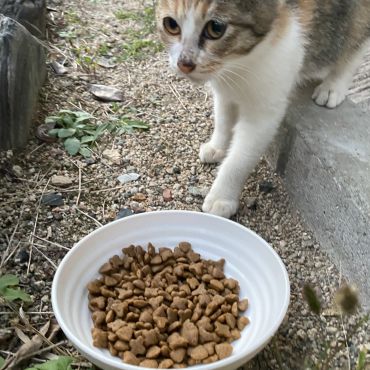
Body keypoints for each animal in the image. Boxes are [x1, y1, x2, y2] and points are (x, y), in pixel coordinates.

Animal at [156, 0, 370, 218]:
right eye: (171, 24)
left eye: (215, 28)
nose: (184, 64)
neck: (237, 63)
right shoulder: (224, 88)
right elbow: (223, 118)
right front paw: (218, 146)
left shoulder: (264, 110)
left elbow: (240, 158)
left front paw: (222, 196)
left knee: (357, 41)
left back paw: (334, 85)